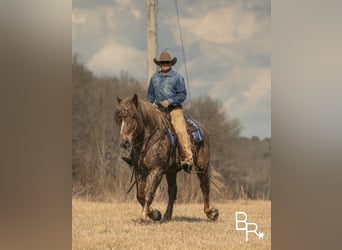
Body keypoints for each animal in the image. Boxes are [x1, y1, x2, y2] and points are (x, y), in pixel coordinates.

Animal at [113, 94, 218, 223]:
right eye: (119, 119)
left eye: (133, 116)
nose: (124, 142)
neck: (150, 139)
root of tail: (202, 128)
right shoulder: (139, 170)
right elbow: (140, 195)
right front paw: (155, 214)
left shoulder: (157, 171)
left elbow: (149, 194)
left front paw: (144, 216)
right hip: (171, 171)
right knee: (173, 191)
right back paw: (167, 215)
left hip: (202, 166)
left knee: (204, 186)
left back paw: (211, 213)